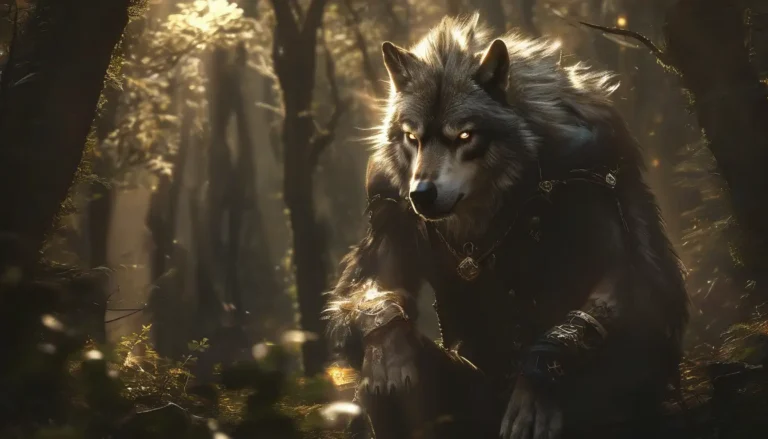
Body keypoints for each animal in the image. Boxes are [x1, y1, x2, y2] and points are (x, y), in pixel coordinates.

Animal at [324, 13, 689, 439]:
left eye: (464, 135)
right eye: (412, 137)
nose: (421, 194)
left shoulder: (588, 162)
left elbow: (627, 275)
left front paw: (535, 385)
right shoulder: (384, 196)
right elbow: (375, 288)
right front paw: (387, 347)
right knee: (394, 374)